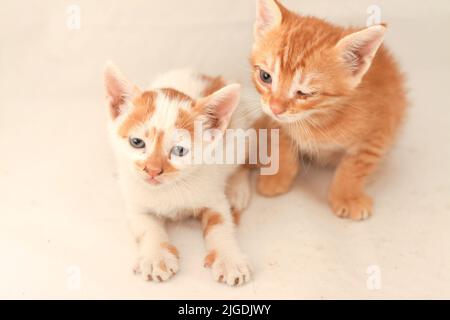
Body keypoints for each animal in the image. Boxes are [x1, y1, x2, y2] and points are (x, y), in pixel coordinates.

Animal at [104, 63, 260, 286]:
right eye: (137, 142)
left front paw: (230, 259)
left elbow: (221, 225)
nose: (153, 170)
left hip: (244, 132)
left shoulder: (213, 196)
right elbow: (147, 227)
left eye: (179, 150)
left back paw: (237, 190)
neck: (170, 188)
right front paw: (156, 256)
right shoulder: (135, 202)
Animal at [251, 0, 410, 220]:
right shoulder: (278, 123)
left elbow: (355, 165)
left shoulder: (379, 132)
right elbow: (282, 146)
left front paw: (347, 196)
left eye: (305, 93)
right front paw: (278, 175)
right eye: (265, 77)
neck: (316, 119)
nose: (275, 108)